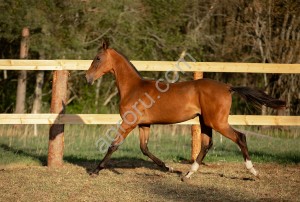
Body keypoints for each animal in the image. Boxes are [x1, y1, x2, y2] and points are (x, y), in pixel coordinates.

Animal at [85, 41, 286, 181]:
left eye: (98, 58)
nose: (87, 78)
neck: (133, 89)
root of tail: (228, 87)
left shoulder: (129, 123)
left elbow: (113, 145)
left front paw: (95, 171)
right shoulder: (144, 124)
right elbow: (144, 148)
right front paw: (169, 168)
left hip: (217, 122)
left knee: (240, 137)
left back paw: (253, 171)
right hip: (205, 121)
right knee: (206, 144)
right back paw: (187, 174)